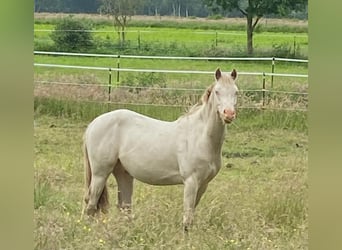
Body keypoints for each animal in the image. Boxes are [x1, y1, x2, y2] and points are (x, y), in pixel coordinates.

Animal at [82, 68, 238, 230]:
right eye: (217, 91)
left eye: (236, 92)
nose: (229, 114)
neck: (200, 137)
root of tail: (93, 124)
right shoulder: (191, 182)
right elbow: (187, 217)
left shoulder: (203, 185)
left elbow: (191, 215)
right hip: (100, 174)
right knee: (91, 204)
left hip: (123, 173)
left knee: (124, 206)